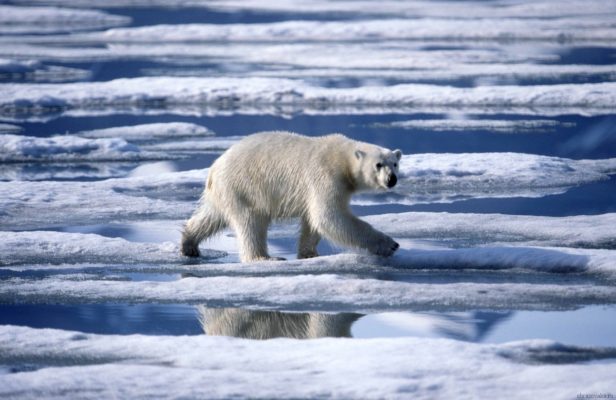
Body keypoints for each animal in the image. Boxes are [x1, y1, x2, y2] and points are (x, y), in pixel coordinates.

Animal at [180, 131, 402, 262]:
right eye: (378, 164)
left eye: (395, 163)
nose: (392, 179)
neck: (341, 157)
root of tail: (214, 168)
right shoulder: (325, 176)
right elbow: (330, 217)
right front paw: (389, 244)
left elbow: (313, 221)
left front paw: (309, 253)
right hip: (243, 187)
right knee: (250, 223)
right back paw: (264, 258)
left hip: (225, 192)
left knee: (211, 217)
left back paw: (189, 244)